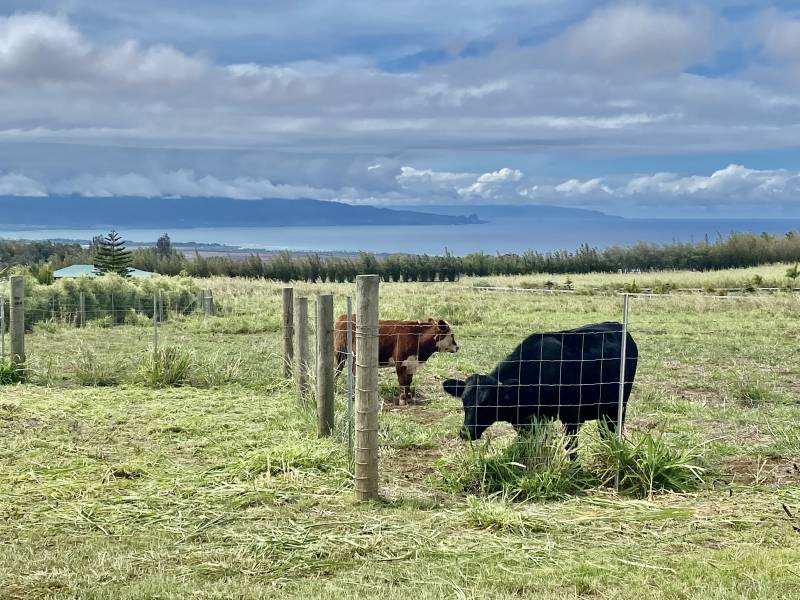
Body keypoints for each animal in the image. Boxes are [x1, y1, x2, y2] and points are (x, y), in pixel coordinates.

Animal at [444, 322, 636, 448]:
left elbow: (570, 447)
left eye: (489, 404)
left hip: (619, 405)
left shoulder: (571, 416)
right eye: (464, 402)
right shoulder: (526, 423)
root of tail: (617, 325)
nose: (465, 432)